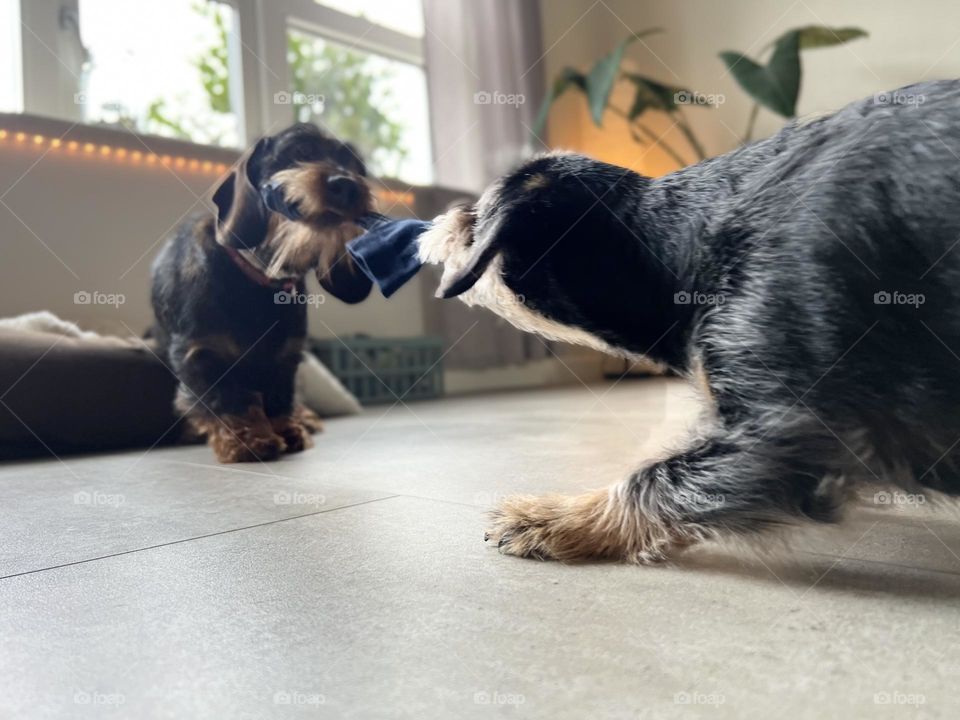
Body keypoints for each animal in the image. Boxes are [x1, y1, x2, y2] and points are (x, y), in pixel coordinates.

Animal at [152, 123, 374, 462]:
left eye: (357, 168)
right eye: (301, 150)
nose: (349, 186)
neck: (260, 279)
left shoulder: (286, 359)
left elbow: (280, 398)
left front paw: (289, 430)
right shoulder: (201, 354)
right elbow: (230, 402)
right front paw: (249, 440)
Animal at [422, 79, 960, 564]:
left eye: (476, 217)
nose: (440, 218)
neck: (677, 250)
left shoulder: (787, 427)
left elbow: (655, 479)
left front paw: (558, 517)